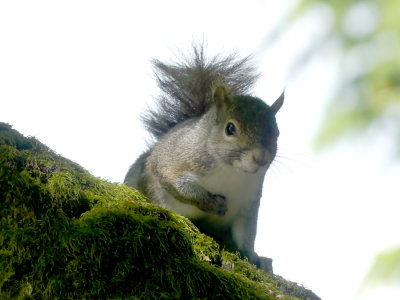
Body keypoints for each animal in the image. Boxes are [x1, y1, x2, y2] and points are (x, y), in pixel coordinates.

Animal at [123, 44, 282, 272]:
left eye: (277, 133)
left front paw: (254, 256)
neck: (232, 172)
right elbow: (176, 183)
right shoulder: (176, 160)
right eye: (230, 128)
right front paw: (212, 204)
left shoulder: (248, 203)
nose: (260, 158)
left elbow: (246, 235)